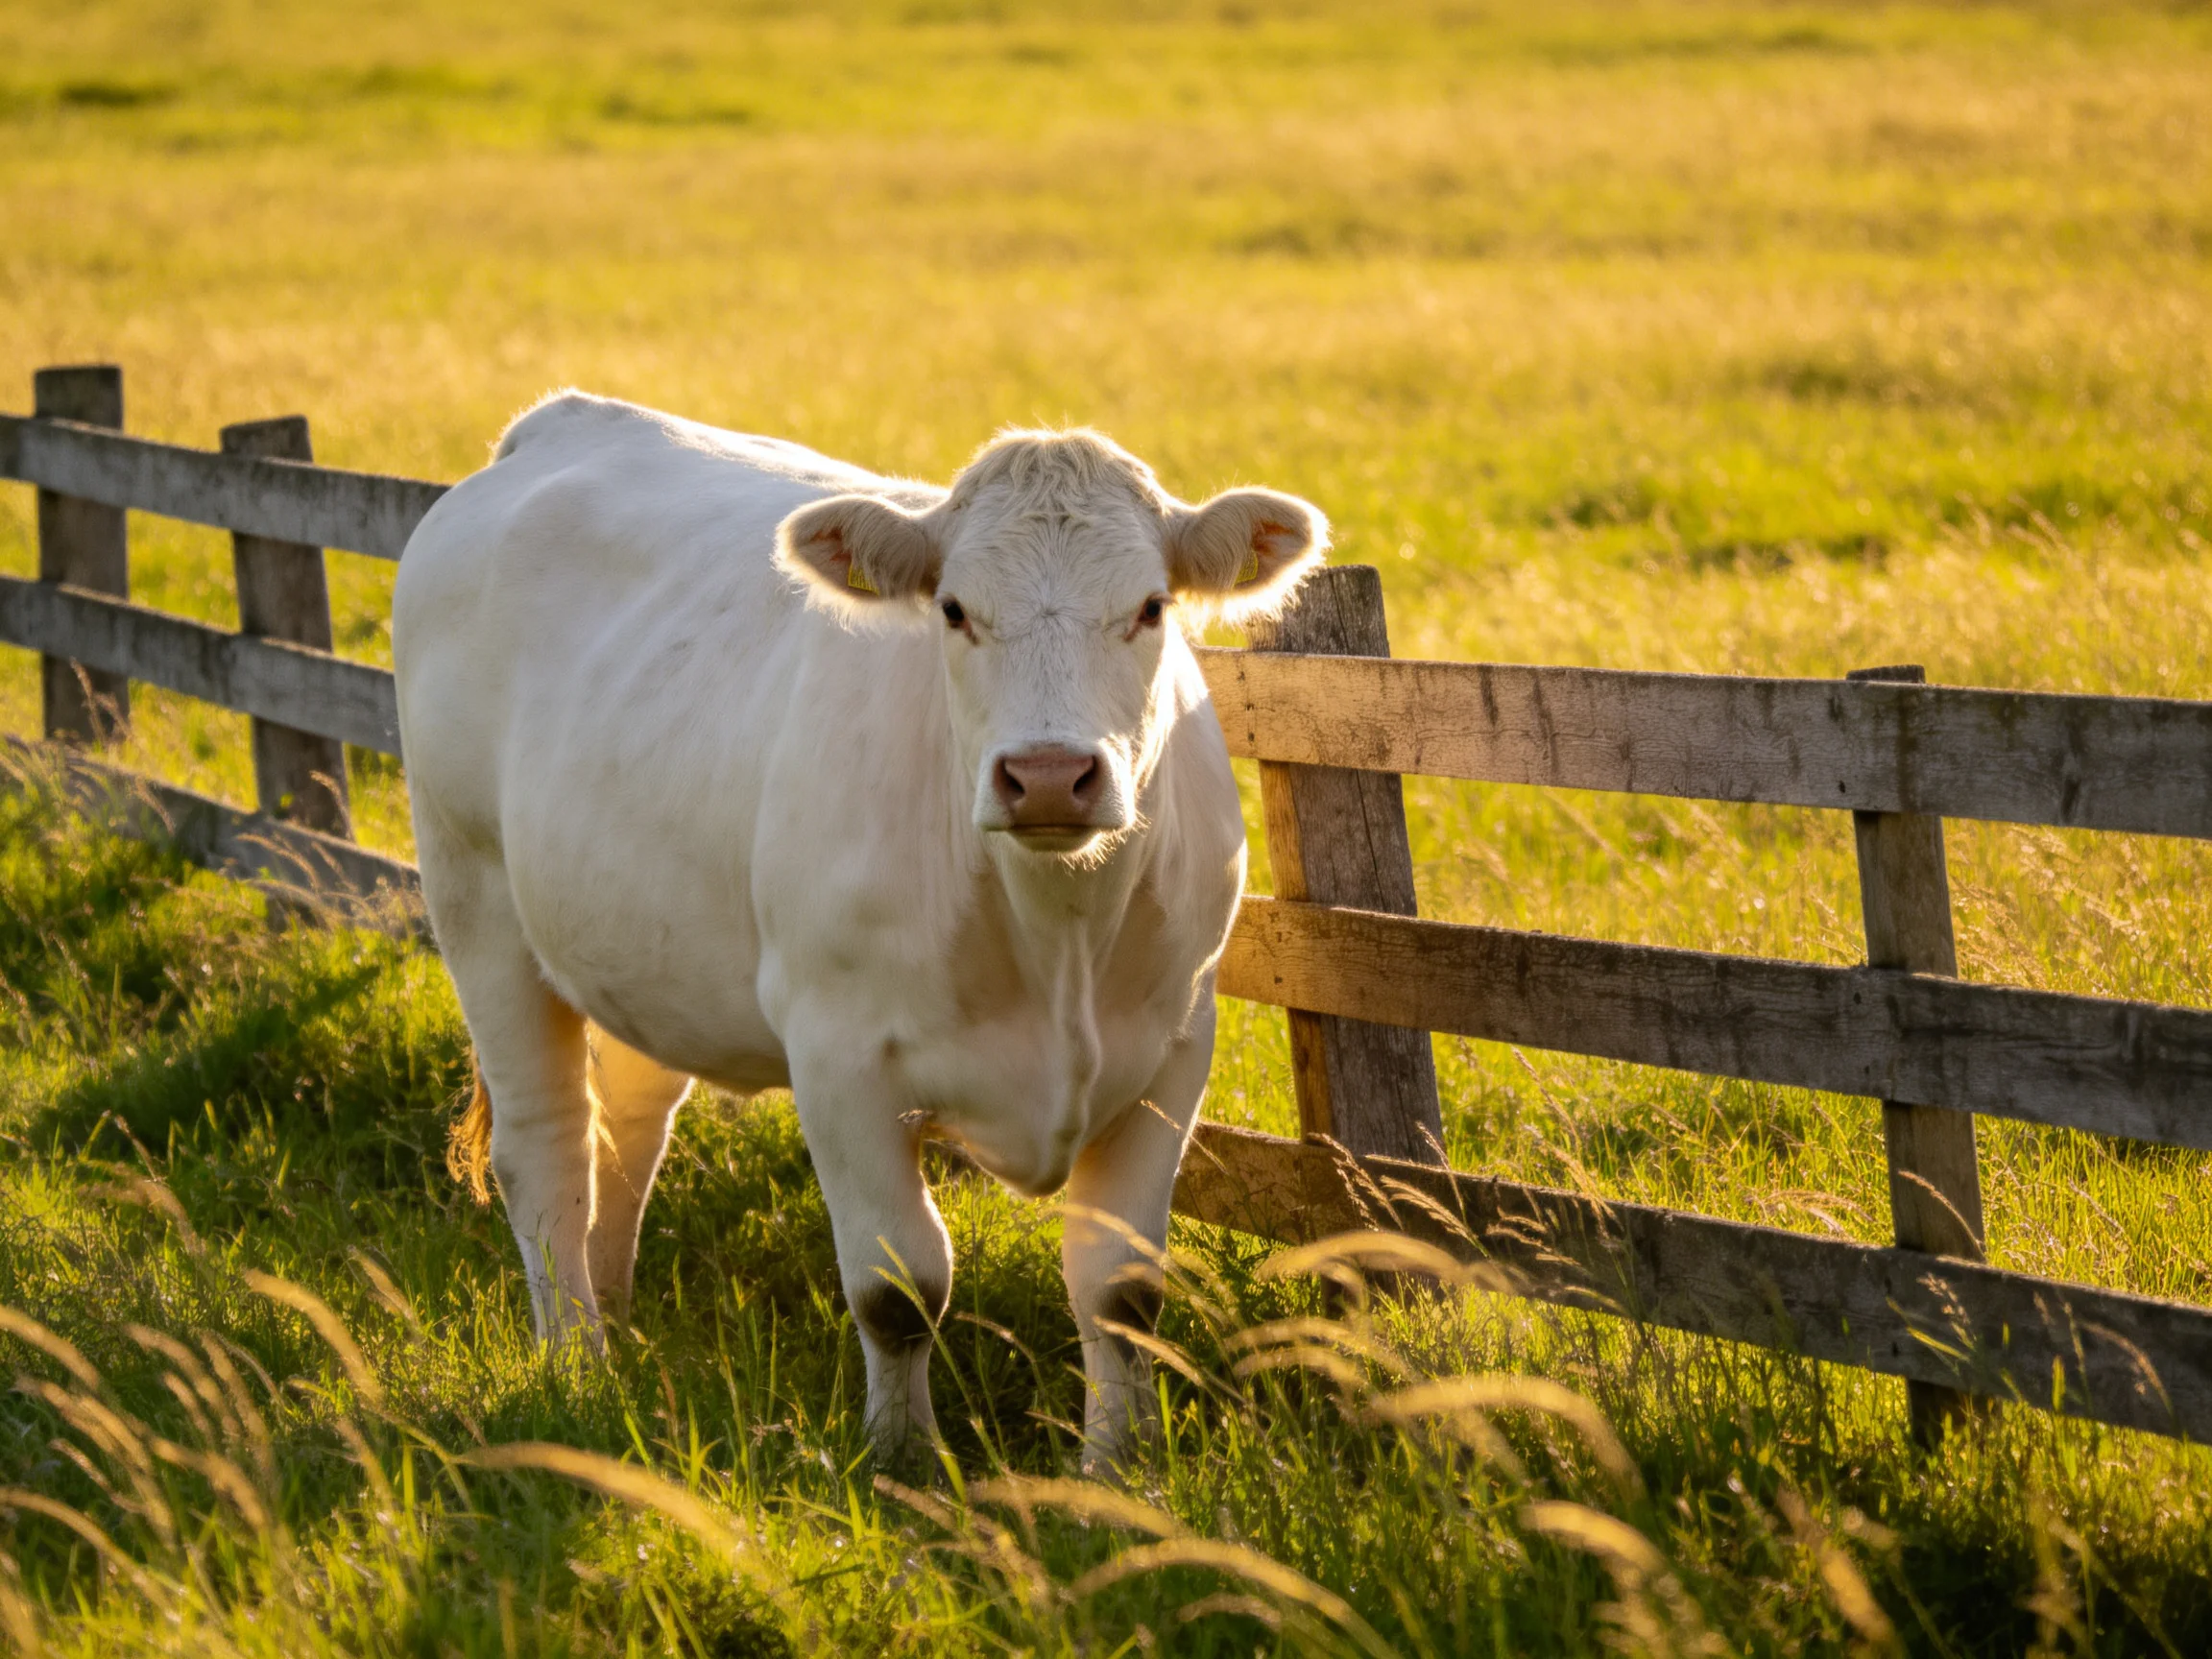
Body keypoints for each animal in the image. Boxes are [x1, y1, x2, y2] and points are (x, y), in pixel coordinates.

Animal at [391, 392, 1325, 1470]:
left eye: (1151, 608)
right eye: (954, 610)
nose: (1049, 775)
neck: (1055, 938)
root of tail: (563, 420)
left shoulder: (1175, 1048)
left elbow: (1119, 1291)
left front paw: (1120, 1471)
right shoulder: (839, 1059)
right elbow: (898, 1288)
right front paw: (903, 1462)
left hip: (633, 943)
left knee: (626, 1130)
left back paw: (617, 1328)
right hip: (476, 898)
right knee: (546, 1145)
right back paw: (578, 1365)